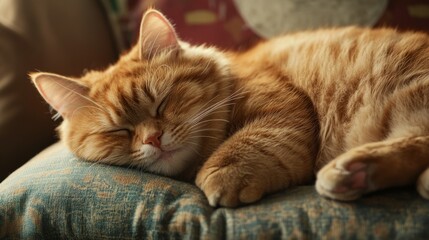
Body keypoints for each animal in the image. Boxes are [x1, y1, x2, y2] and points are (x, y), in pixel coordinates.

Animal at [31, 9, 428, 207]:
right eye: (119, 130)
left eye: (162, 102)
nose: (154, 139)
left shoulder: (283, 112)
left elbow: (246, 146)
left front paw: (223, 174)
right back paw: (357, 175)